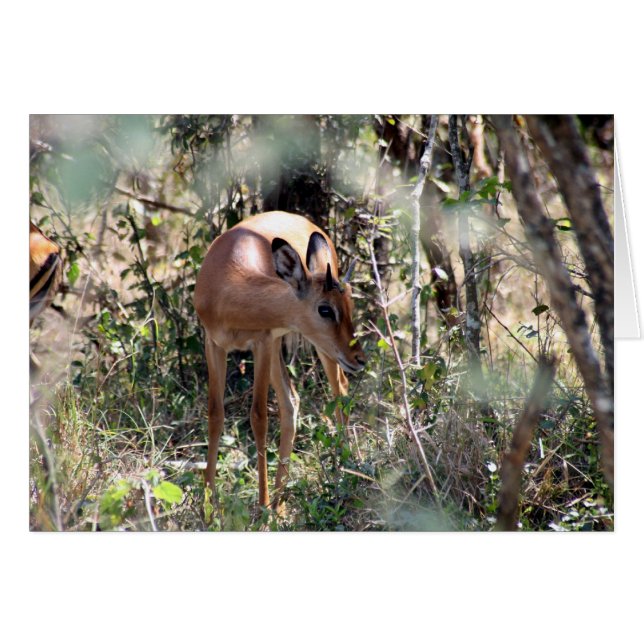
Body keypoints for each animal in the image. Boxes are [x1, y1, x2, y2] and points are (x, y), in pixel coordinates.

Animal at [194, 211, 366, 512]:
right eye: (325, 309)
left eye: (347, 307)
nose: (361, 358)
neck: (228, 286)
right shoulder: (214, 344)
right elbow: (215, 414)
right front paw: (208, 506)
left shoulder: (261, 343)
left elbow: (259, 417)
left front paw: (261, 504)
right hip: (281, 347)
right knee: (291, 401)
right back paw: (279, 501)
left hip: (317, 350)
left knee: (340, 390)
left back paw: (343, 471)